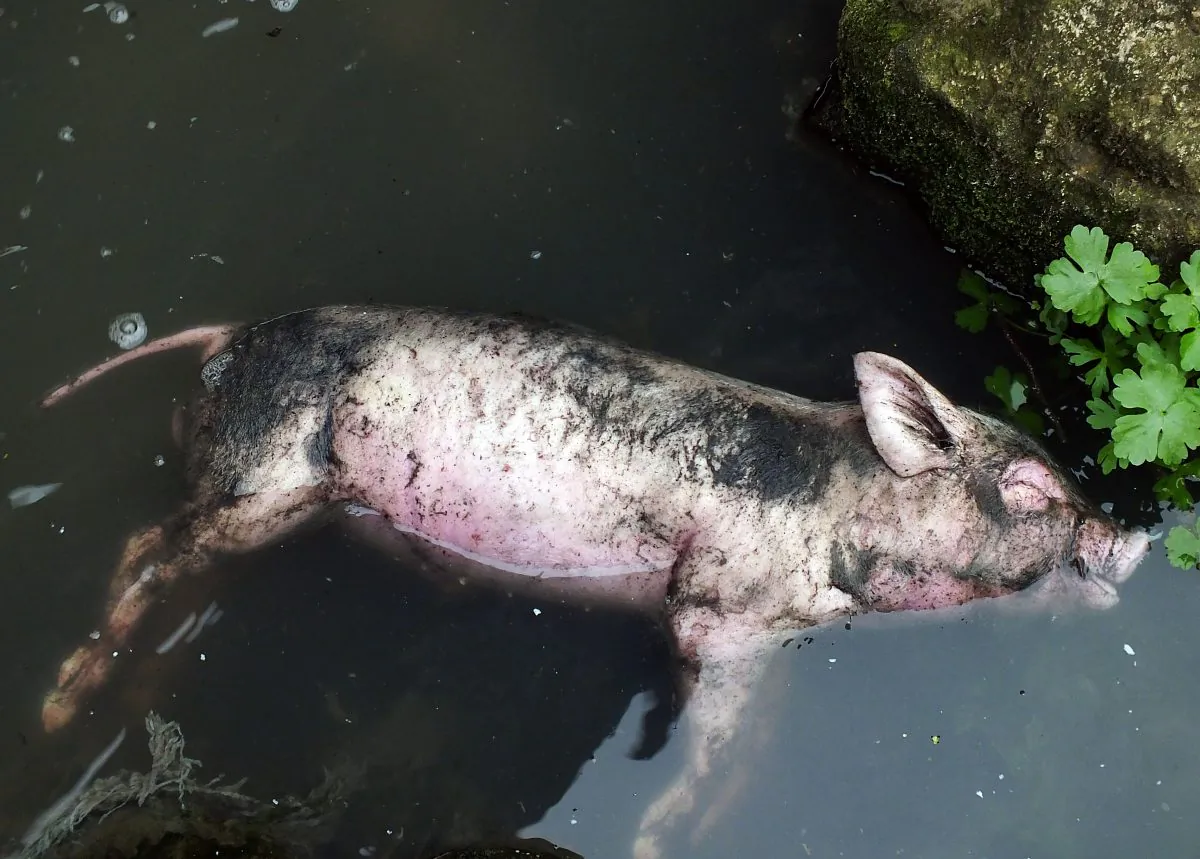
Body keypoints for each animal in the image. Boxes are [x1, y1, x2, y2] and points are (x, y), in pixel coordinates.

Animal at [37, 305, 1148, 859]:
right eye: (1028, 486)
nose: (1131, 538)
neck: (844, 524)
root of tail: (223, 339)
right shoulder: (717, 609)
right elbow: (708, 734)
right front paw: (653, 839)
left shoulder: (777, 633)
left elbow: (753, 747)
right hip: (269, 476)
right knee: (146, 544)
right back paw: (56, 711)